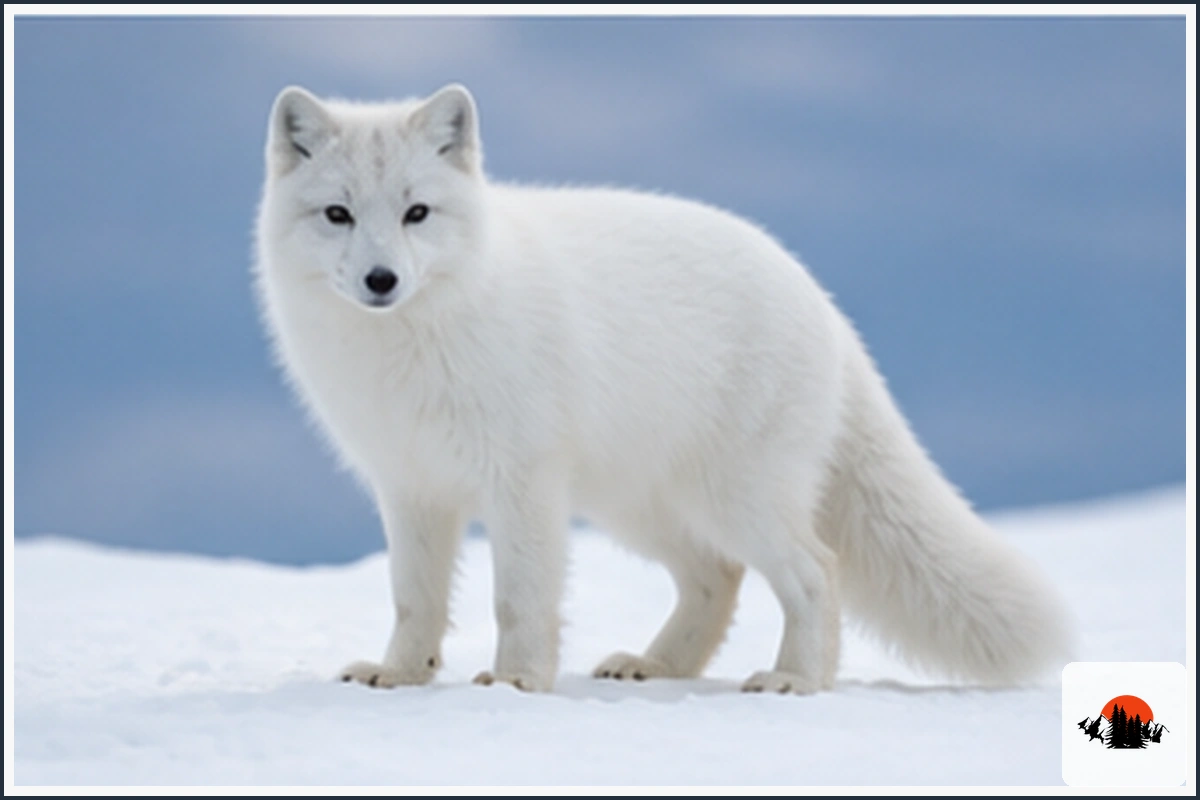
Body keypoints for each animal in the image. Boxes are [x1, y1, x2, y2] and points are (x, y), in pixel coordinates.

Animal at [254, 83, 1074, 694]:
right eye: (338, 215)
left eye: (417, 212)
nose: (381, 280)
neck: (411, 345)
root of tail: (824, 303)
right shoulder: (411, 488)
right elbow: (413, 599)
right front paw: (400, 676)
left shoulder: (522, 480)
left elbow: (519, 598)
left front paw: (517, 684)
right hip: (642, 505)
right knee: (717, 577)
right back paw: (657, 665)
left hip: (734, 497)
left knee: (814, 571)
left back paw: (795, 680)